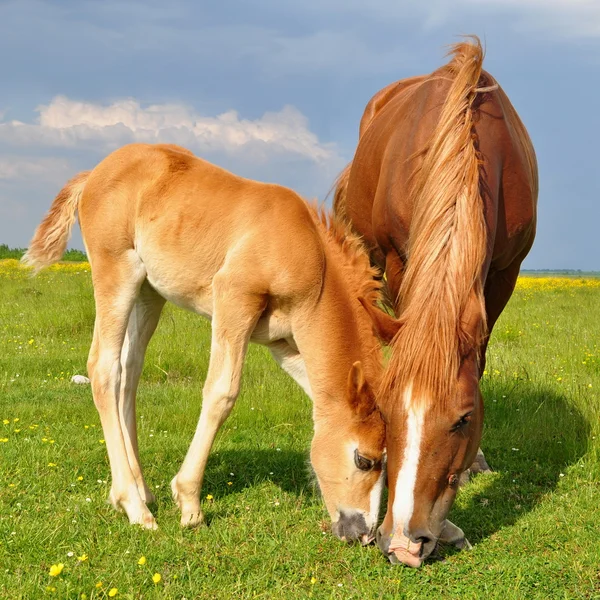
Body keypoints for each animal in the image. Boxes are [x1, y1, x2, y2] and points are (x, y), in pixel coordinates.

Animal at [332, 38, 540, 568]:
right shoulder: (400, 259)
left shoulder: (504, 273)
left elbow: (479, 359)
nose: (404, 544)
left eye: (464, 419)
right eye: (385, 411)